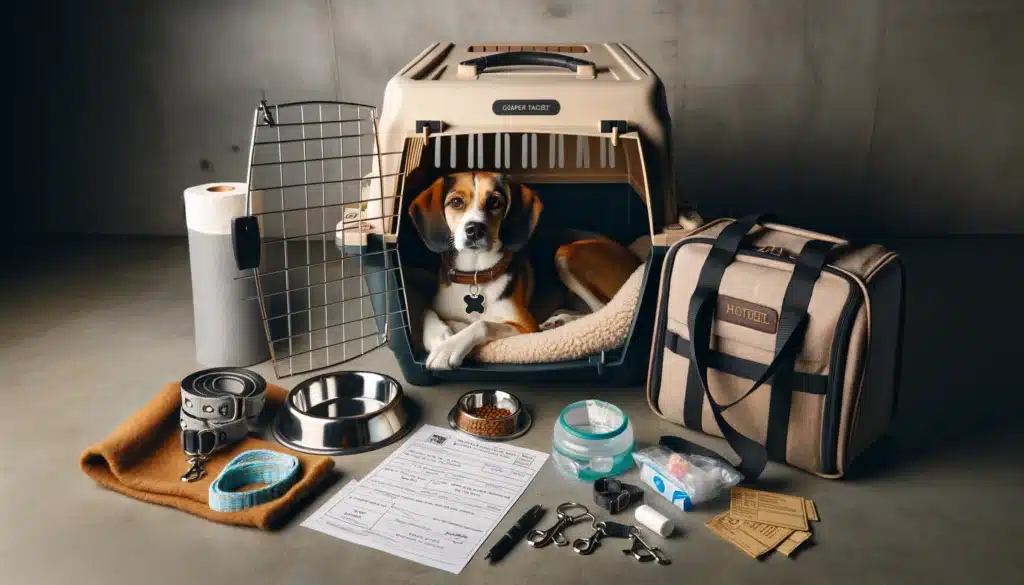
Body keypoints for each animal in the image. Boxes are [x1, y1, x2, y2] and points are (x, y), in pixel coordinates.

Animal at [405, 170, 638, 370]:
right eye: (456, 202)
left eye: (495, 201)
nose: (475, 229)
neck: (475, 275)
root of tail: (634, 258)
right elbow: (425, 311)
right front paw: (440, 336)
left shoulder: (525, 327)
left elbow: (482, 324)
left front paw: (448, 348)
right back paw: (559, 320)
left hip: (565, 254)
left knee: (601, 309)